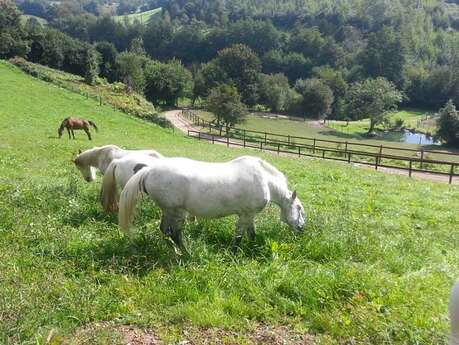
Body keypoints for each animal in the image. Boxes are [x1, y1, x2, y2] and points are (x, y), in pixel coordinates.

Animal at [118, 156, 306, 253]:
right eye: (299, 208)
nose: (302, 228)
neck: (264, 179)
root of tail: (148, 170)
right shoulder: (246, 214)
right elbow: (239, 236)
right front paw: (234, 253)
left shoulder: (249, 215)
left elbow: (251, 234)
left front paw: (253, 249)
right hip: (176, 212)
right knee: (175, 234)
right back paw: (187, 254)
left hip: (168, 211)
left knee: (165, 231)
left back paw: (175, 250)